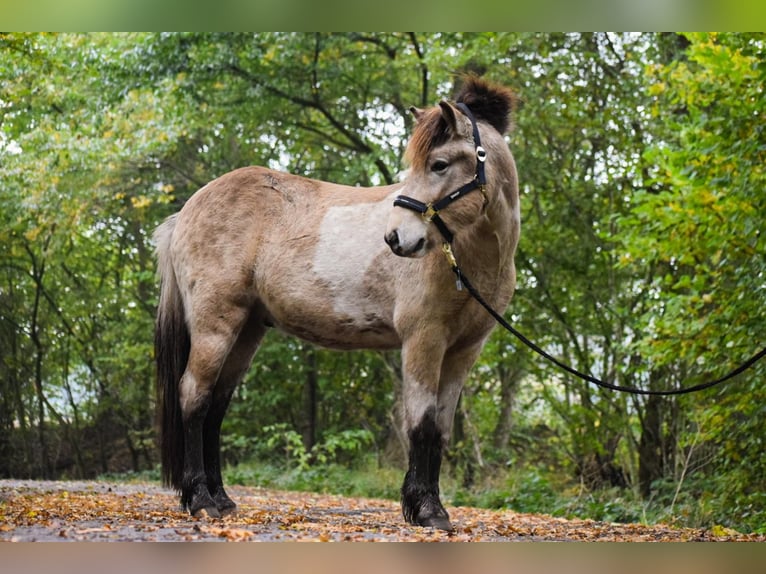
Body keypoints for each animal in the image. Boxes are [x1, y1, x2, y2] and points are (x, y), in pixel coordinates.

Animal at [152, 77, 520, 536]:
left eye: (438, 164)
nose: (396, 238)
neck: (467, 255)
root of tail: (186, 211)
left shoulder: (464, 350)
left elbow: (439, 428)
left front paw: (432, 507)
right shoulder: (424, 340)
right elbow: (420, 424)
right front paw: (425, 510)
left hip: (247, 330)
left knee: (216, 406)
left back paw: (221, 499)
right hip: (215, 325)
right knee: (194, 397)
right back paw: (201, 500)